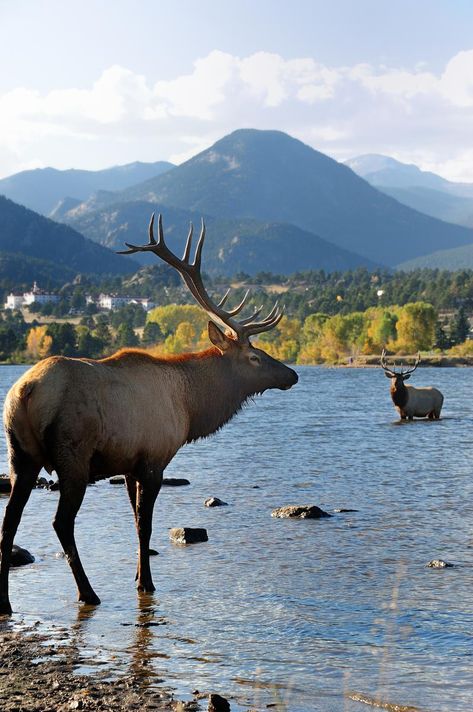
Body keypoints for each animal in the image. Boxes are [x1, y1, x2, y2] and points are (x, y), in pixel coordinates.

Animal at [0, 214, 296, 616]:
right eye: (255, 357)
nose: (292, 374)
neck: (190, 407)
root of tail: (25, 391)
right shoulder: (155, 459)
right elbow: (146, 525)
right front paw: (147, 584)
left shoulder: (127, 464)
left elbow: (134, 520)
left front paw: (138, 575)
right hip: (72, 455)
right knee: (61, 522)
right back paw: (87, 593)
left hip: (20, 454)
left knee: (8, 523)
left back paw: (5, 602)